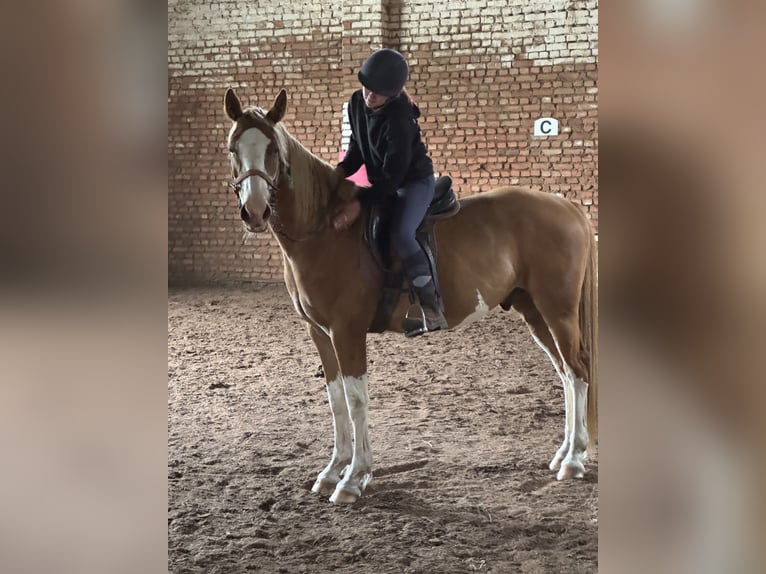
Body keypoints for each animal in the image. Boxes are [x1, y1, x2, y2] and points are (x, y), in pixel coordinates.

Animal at [223, 88, 598, 504]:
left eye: (272, 149)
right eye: (233, 148)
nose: (255, 212)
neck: (325, 229)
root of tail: (566, 205)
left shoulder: (346, 331)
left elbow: (356, 401)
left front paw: (354, 478)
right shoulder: (319, 332)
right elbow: (336, 401)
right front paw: (332, 470)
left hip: (557, 311)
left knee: (578, 371)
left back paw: (574, 461)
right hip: (533, 310)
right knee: (565, 373)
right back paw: (564, 453)